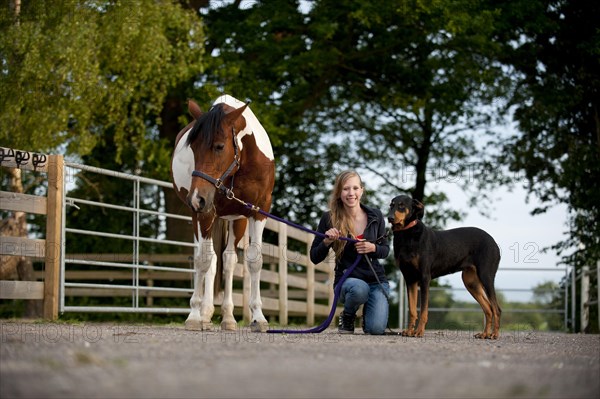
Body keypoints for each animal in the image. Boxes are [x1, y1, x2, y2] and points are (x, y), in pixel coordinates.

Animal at [170, 94, 276, 332]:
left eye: (219, 146)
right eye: (193, 148)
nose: (196, 198)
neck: (241, 163)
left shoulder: (259, 211)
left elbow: (253, 261)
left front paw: (258, 317)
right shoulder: (205, 212)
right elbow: (203, 260)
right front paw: (194, 315)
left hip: (236, 220)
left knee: (227, 261)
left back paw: (227, 317)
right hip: (201, 217)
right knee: (209, 259)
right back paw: (204, 313)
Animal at [390, 195, 502, 340]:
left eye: (402, 205)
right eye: (391, 205)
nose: (390, 218)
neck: (407, 234)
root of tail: (493, 242)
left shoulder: (424, 278)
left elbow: (423, 310)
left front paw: (419, 332)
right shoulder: (410, 279)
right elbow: (413, 310)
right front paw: (409, 331)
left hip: (485, 276)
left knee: (496, 309)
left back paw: (494, 334)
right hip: (470, 282)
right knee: (488, 308)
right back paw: (484, 334)